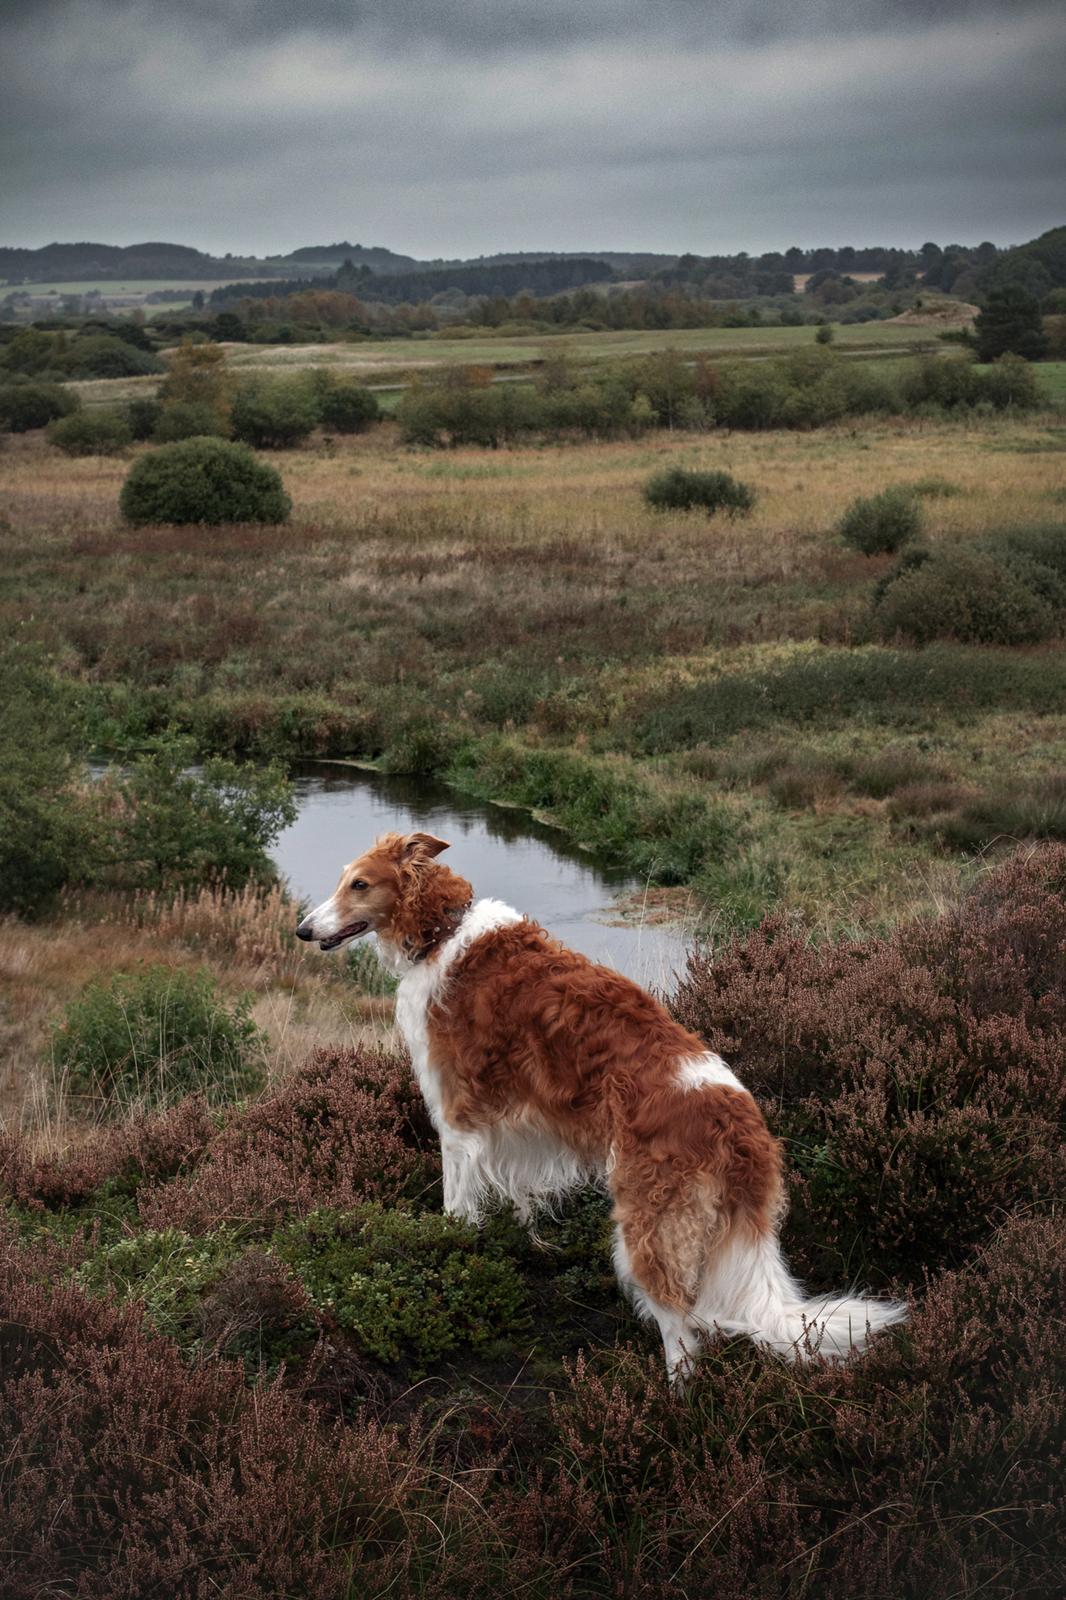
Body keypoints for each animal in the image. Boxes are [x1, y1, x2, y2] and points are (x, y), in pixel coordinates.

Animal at [294, 832, 902, 1382]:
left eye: (359, 884)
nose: (303, 929)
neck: (443, 932)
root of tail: (738, 1124)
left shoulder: (457, 1123)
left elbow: (454, 1215)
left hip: (646, 1231)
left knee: (683, 1331)